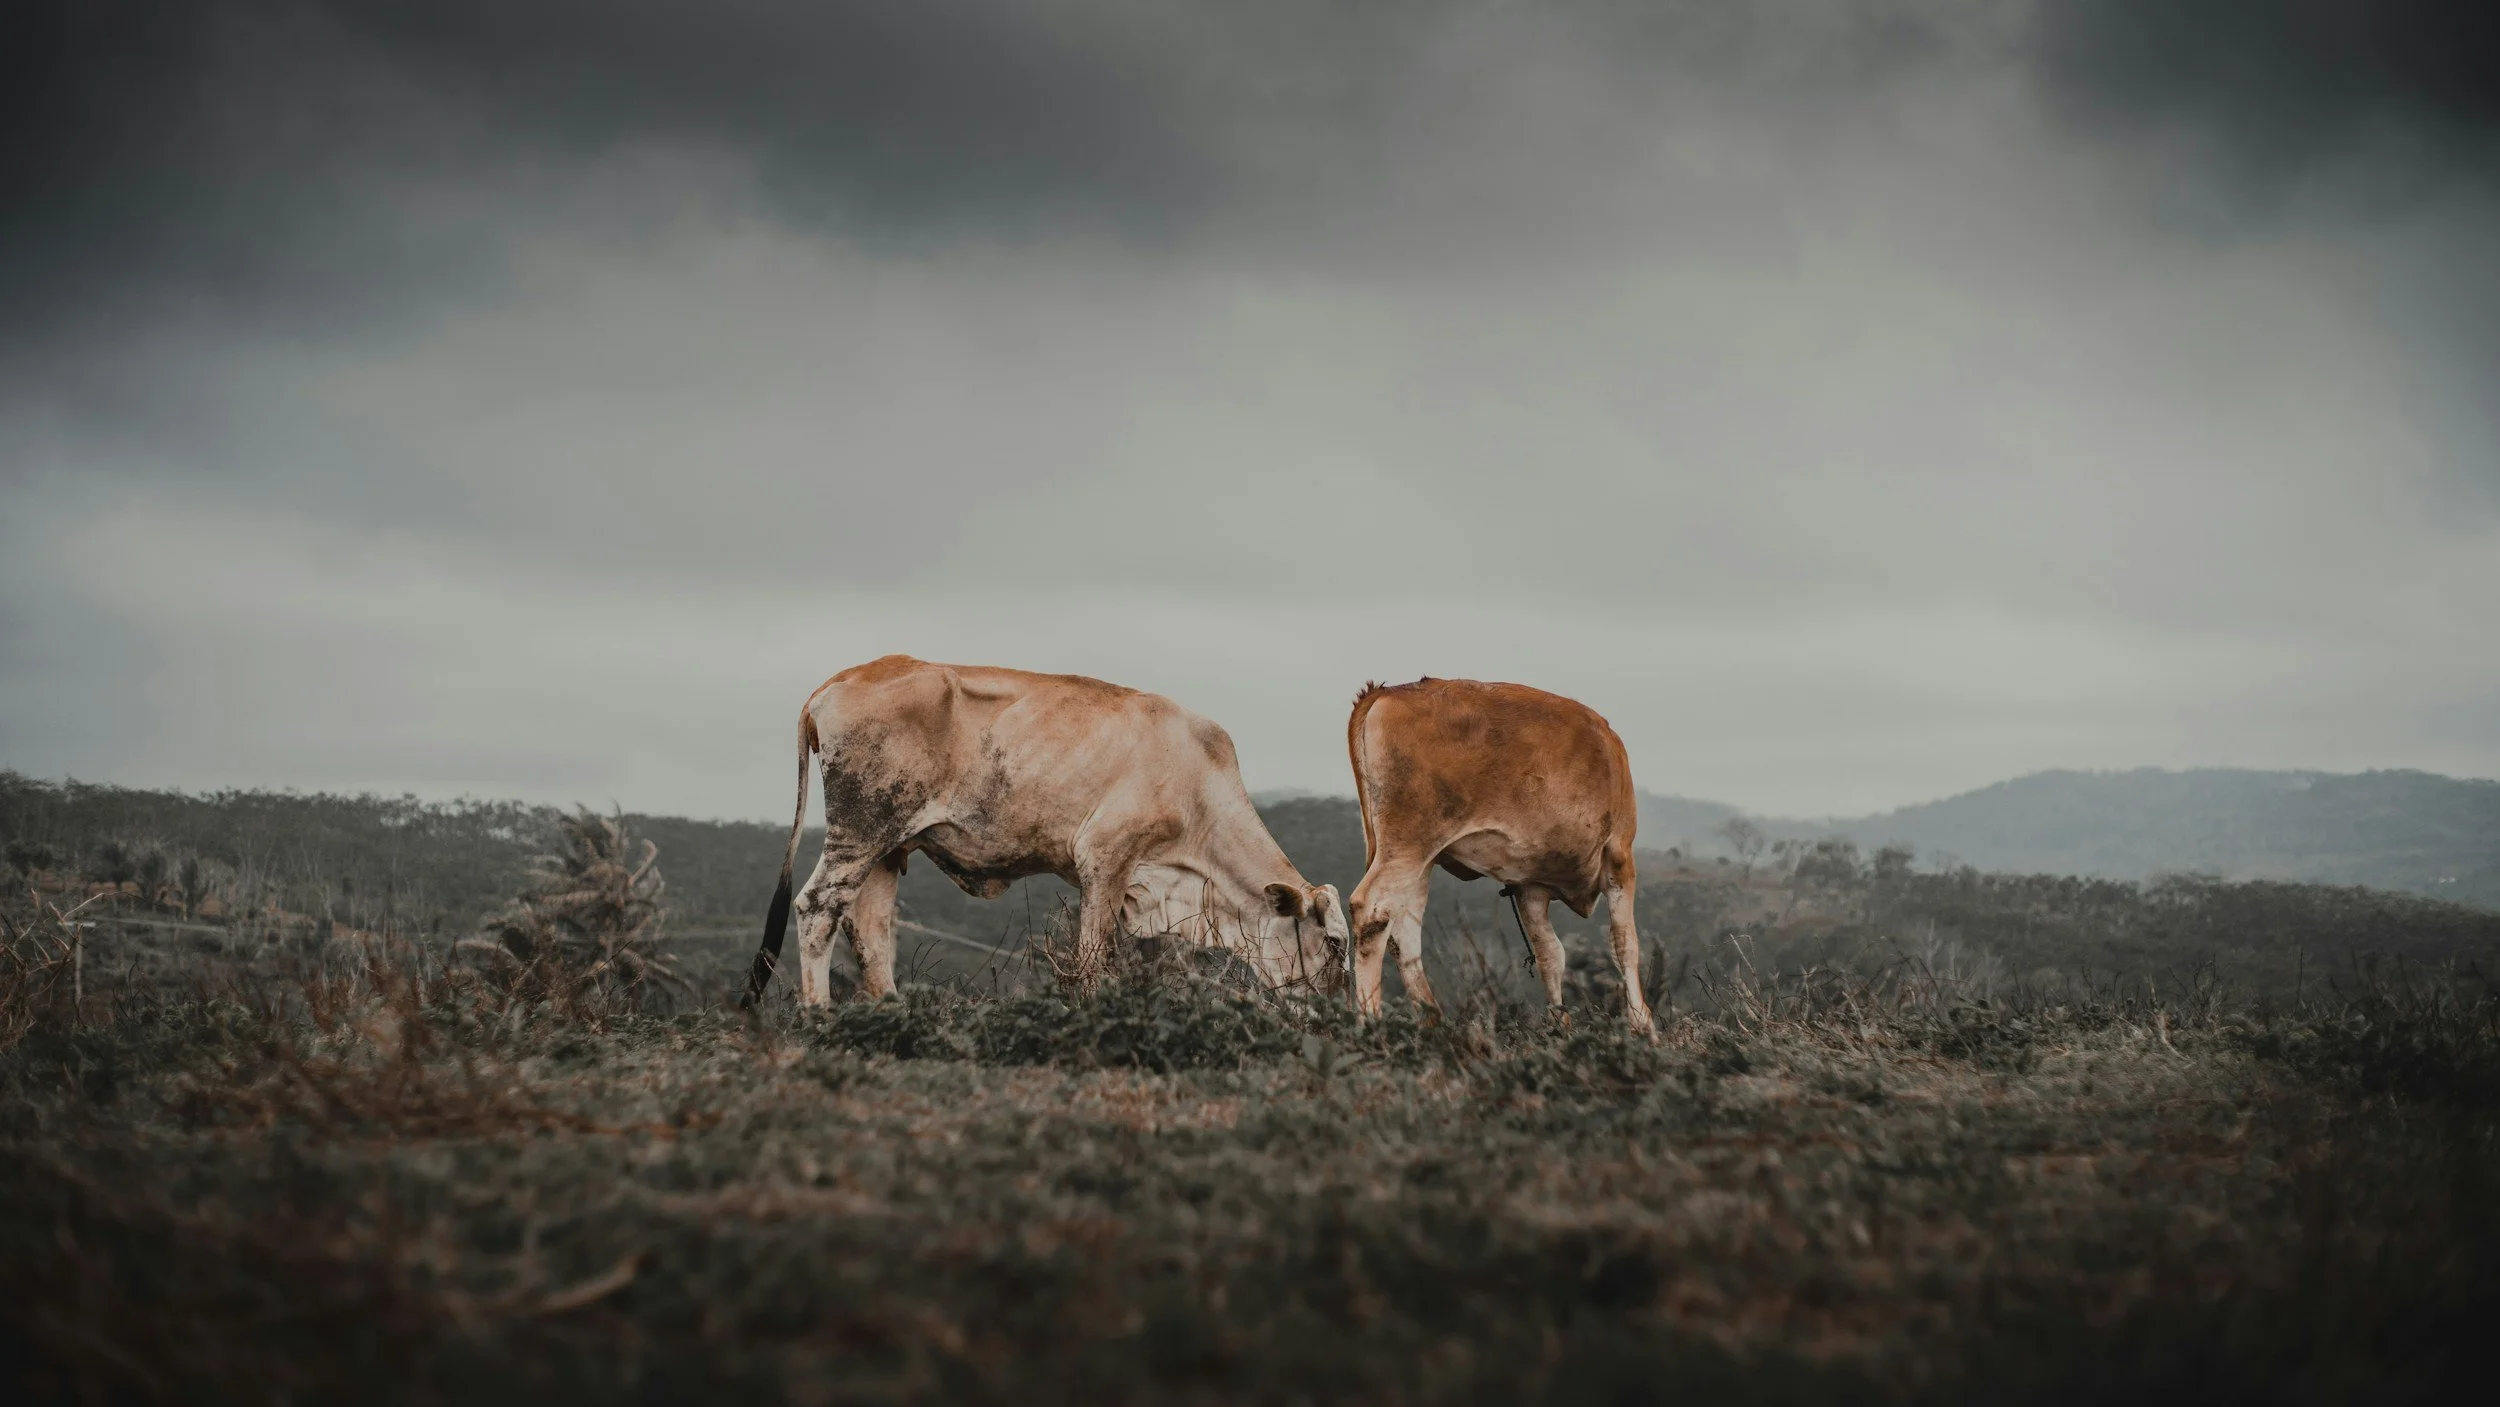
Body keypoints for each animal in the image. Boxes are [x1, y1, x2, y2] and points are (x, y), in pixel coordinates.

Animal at [741, 655, 1350, 1009]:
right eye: (1334, 942)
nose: (1330, 1011)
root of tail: (840, 679)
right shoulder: (1103, 858)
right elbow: (1091, 962)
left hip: (890, 845)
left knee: (869, 927)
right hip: (861, 827)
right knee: (818, 906)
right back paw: (820, 1017)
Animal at [1345, 677, 1654, 1033]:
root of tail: (1389, 691)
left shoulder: (1530, 885)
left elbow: (1550, 954)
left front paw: (1560, 1023)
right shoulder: (1619, 856)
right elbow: (1625, 944)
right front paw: (1644, 1026)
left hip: (1416, 858)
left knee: (1402, 930)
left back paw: (1434, 1020)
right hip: (1409, 842)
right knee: (1370, 909)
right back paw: (1370, 1021)